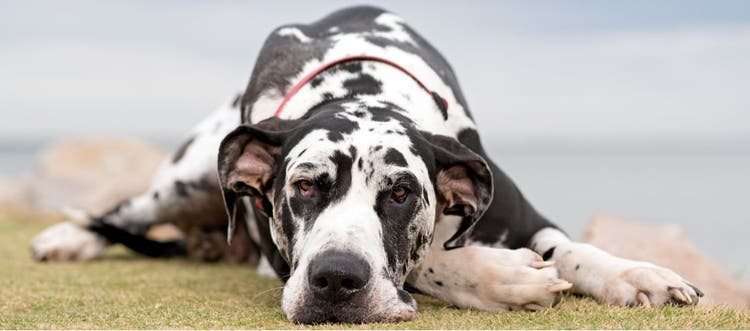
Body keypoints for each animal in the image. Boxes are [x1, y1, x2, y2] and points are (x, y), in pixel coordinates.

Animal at [32, 5, 704, 324]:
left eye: (402, 193)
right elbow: (429, 260)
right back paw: (68, 237)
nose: (336, 281)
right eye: (304, 187)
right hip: (189, 173)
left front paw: (635, 274)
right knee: (127, 210)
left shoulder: (517, 208)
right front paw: (500, 277)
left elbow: (573, 249)